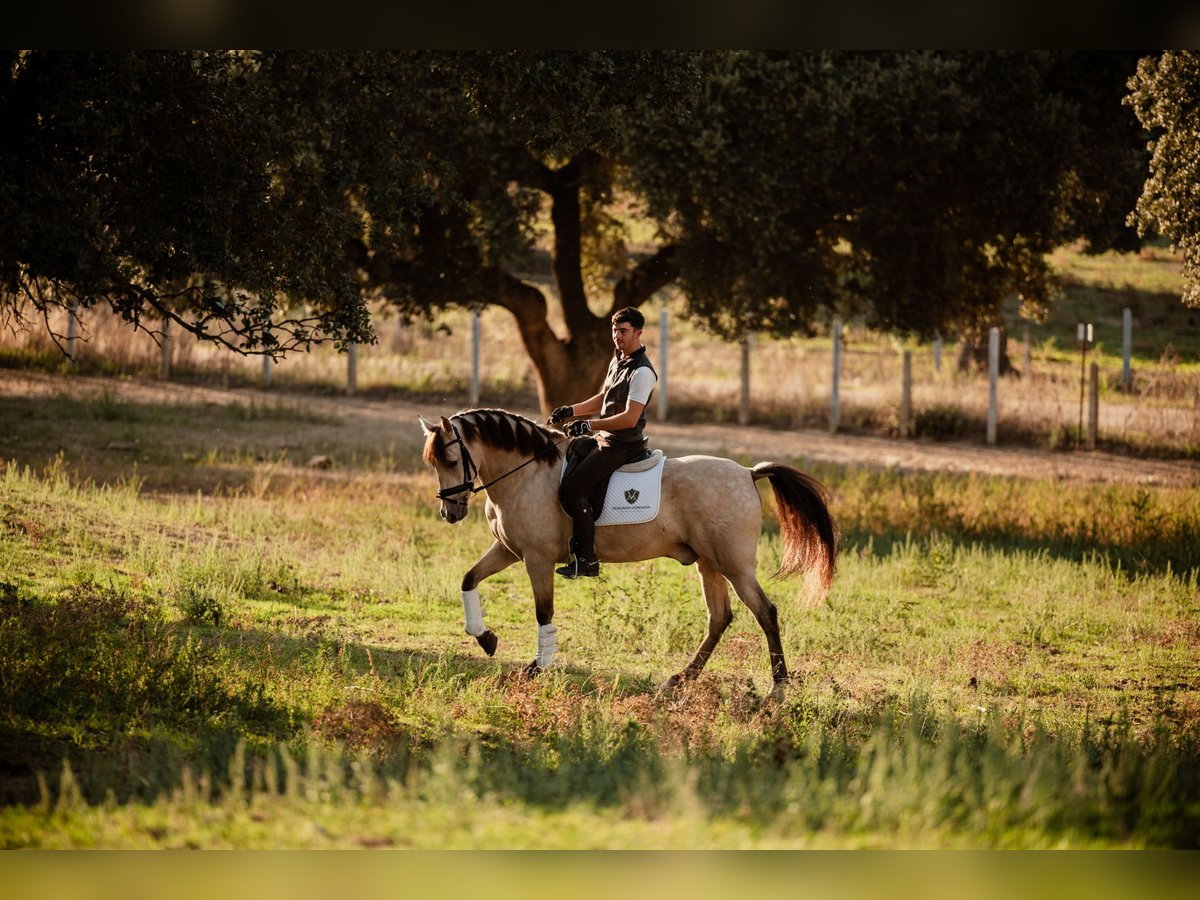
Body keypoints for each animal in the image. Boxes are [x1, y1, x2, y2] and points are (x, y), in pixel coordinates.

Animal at [417, 410, 840, 696]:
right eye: (433, 462)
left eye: (452, 460)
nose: (450, 512)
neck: (528, 472)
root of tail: (748, 473)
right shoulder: (508, 550)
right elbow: (469, 578)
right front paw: (485, 638)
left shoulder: (537, 558)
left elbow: (543, 612)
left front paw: (539, 666)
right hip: (710, 565)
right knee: (720, 618)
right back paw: (680, 679)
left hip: (735, 566)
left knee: (765, 612)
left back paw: (778, 689)